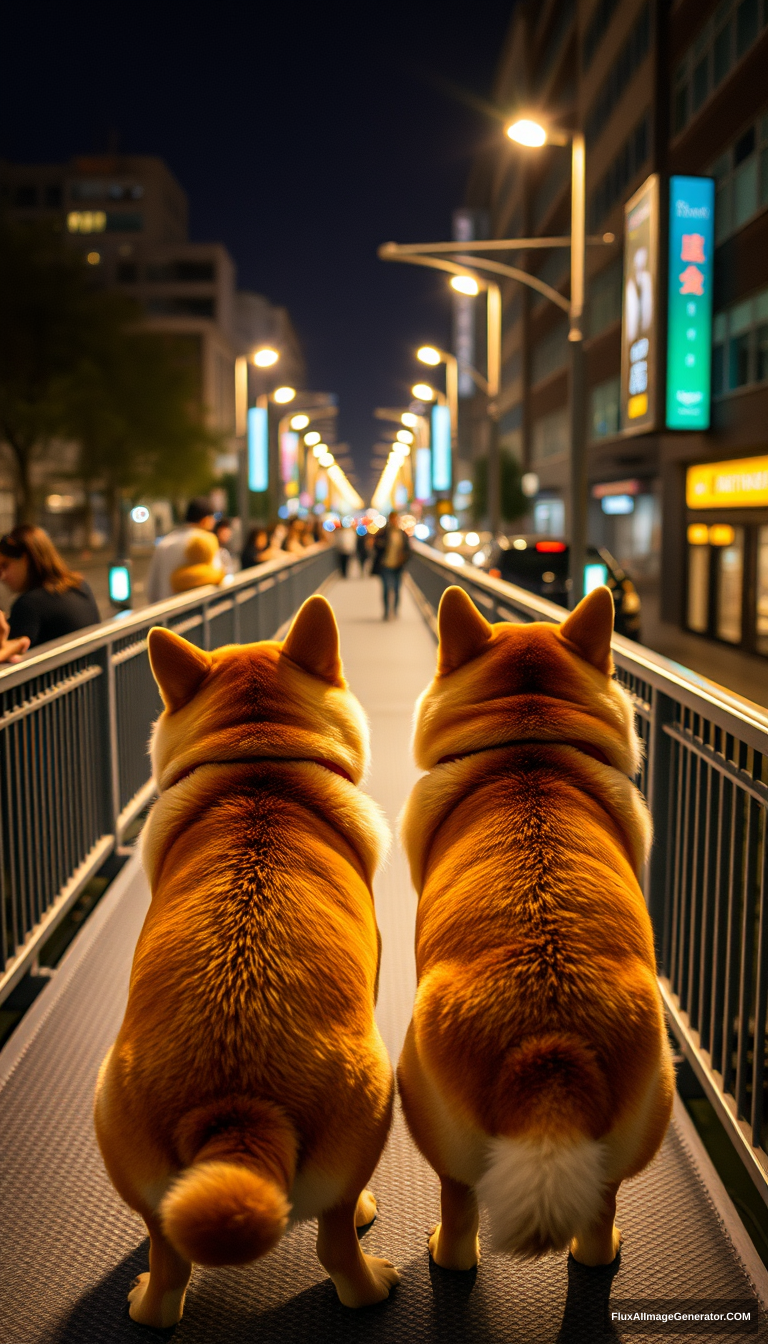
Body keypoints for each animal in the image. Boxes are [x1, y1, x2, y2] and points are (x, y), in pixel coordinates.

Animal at [93, 602, 400, 1333]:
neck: (259, 761)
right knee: (336, 1242)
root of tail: (237, 1108)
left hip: (119, 1129)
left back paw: (146, 1299)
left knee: (168, 1260)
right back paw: (371, 1274)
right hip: (375, 1109)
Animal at [395, 585, 672, 1268]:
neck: (528, 744)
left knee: (459, 1202)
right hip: (646, 1114)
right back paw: (600, 1252)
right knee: (600, 1211)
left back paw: (445, 1253)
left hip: (422, 1102)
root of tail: (549, 1054)